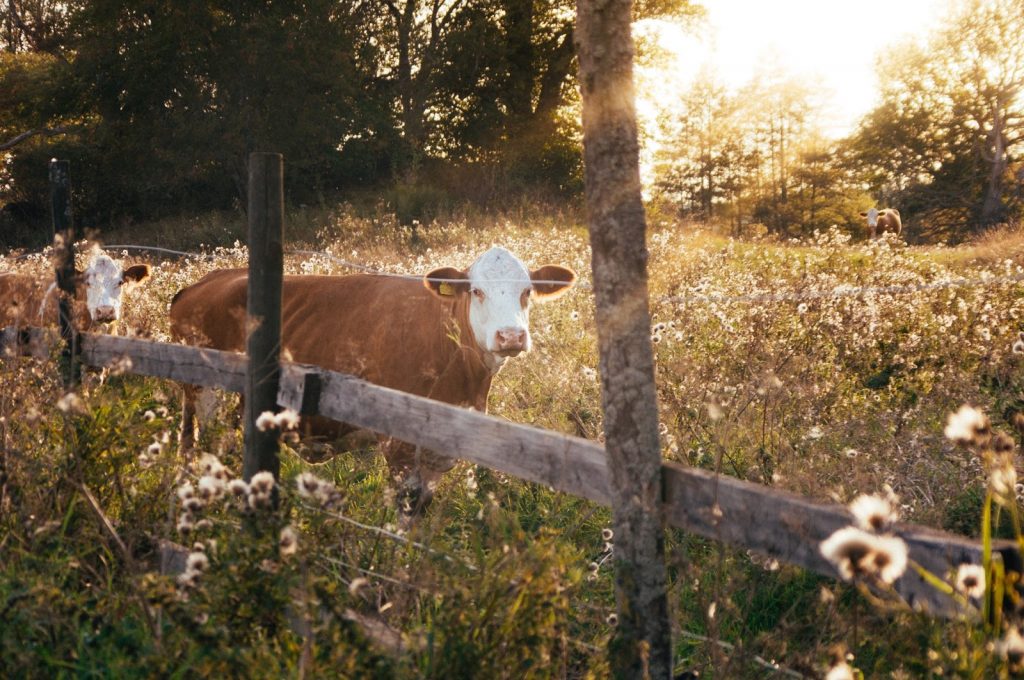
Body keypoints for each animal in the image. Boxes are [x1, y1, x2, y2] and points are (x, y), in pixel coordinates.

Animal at [172, 246, 581, 518]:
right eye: (476, 291)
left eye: (527, 291)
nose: (511, 336)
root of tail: (206, 280)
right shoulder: (399, 446)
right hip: (206, 397)